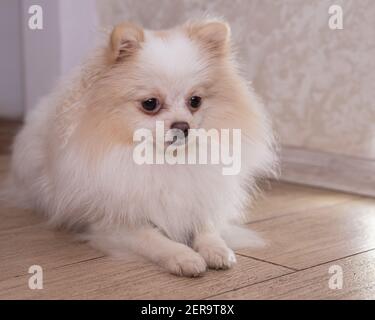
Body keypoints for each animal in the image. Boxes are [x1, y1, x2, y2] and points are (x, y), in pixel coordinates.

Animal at [5, 20, 278, 276]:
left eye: (195, 101)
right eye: (150, 104)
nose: (183, 126)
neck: (165, 160)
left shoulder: (199, 200)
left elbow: (207, 227)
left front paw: (218, 249)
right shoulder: (115, 223)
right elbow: (154, 239)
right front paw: (184, 256)